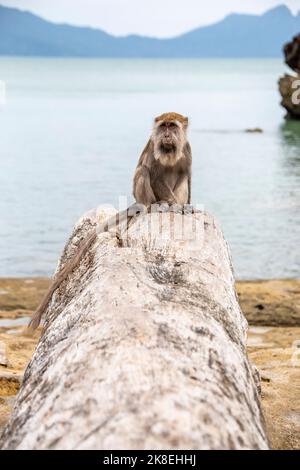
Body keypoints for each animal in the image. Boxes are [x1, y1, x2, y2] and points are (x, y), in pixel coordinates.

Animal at [28, 111, 192, 330]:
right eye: (163, 127)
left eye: (172, 126)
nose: (166, 135)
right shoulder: (153, 147)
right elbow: (154, 172)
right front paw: (172, 203)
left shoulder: (187, 150)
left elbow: (186, 175)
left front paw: (183, 205)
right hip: (142, 196)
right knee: (143, 170)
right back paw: (154, 206)